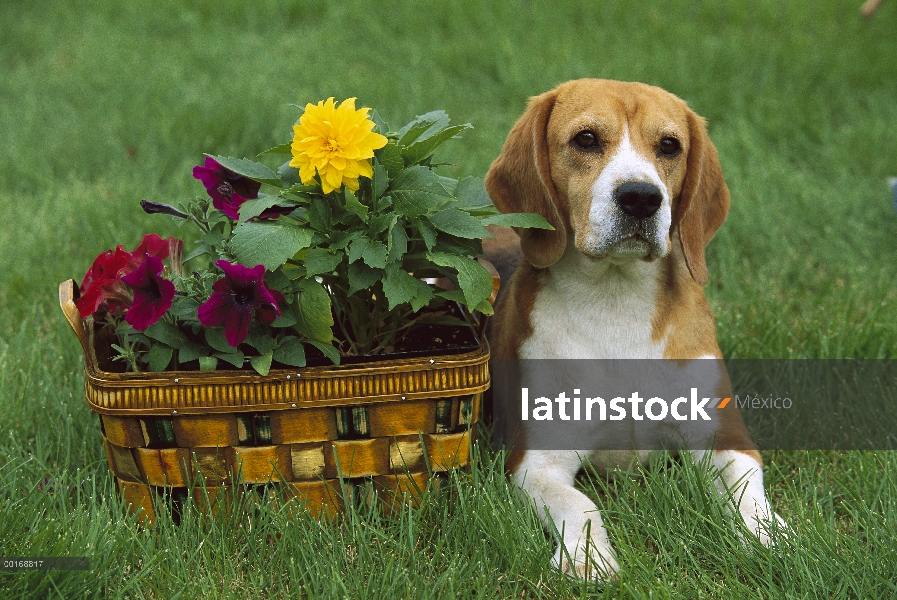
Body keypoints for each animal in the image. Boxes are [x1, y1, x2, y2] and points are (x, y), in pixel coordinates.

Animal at [484, 79, 784, 580]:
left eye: (669, 146)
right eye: (586, 139)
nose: (641, 197)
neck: (616, 303)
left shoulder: (726, 440)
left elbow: (747, 494)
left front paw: (769, 538)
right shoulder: (536, 463)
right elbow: (579, 504)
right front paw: (588, 556)